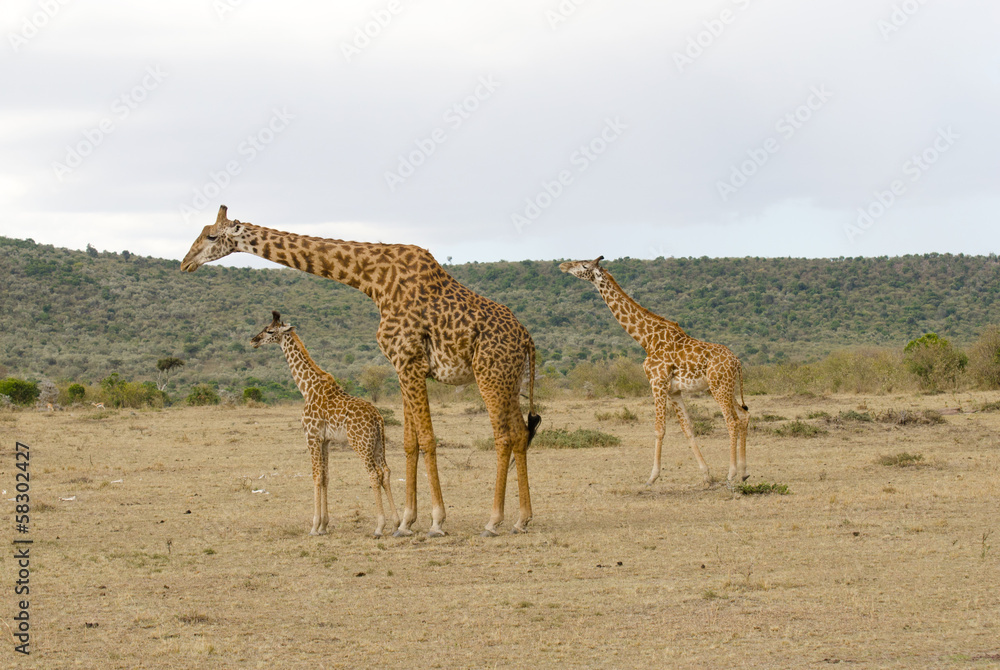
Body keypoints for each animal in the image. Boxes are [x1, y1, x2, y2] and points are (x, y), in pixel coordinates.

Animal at [251, 311, 399, 538]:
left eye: (269, 330)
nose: (253, 340)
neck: (306, 388)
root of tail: (378, 418)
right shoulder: (325, 440)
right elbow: (326, 477)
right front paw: (324, 525)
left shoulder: (311, 436)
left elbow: (316, 476)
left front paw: (314, 526)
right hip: (378, 445)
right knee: (386, 472)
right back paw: (397, 523)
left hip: (360, 444)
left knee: (374, 474)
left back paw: (380, 526)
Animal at [559, 256, 749, 488]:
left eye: (584, 265)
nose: (563, 265)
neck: (646, 339)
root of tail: (737, 361)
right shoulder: (674, 390)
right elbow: (687, 428)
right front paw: (706, 475)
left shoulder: (657, 382)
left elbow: (659, 429)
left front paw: (652, 477)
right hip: (727, 387)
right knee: (744, 416)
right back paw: (743, 472)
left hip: (719, 387)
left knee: (732, 421)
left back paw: (731, 474)